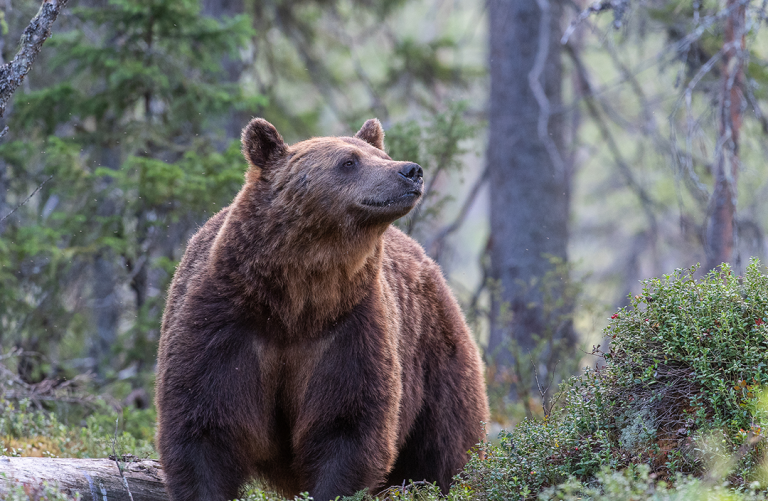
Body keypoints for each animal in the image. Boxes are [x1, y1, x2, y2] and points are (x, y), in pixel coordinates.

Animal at [154, 118, 488, 500]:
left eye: (382, 155)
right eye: (349, 161)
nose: (411, 171)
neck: (296, 300)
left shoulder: (349, 329)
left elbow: (347, 425)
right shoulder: (222, 324)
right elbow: (203, 427)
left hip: (435, 362)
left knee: (445, 447)